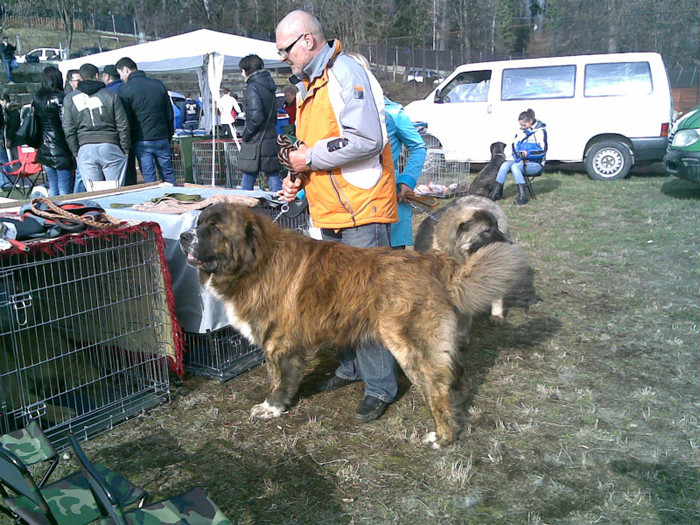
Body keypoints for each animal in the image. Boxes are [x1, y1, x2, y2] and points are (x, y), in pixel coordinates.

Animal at [180, 203, 524, 448]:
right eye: (199, 224)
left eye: (215, 228)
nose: (184, 237)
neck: (256, 261)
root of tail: (435, 263)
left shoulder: (277, 341)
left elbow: (278, 379)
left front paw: (271, 407)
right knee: (456, 373)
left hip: (410, 348)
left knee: (437, 389)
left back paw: (442, 437)